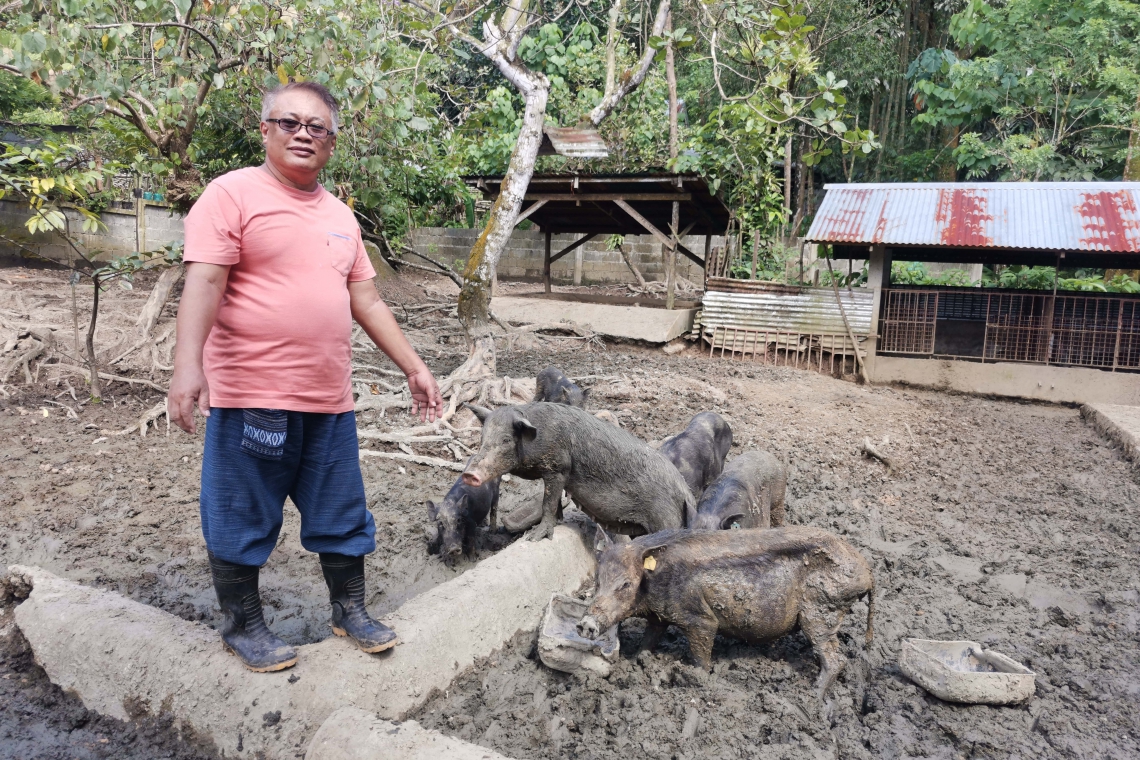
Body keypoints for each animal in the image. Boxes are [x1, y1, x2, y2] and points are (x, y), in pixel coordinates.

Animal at [462, 403, 693, 540]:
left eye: (506, 439)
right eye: (483, 438)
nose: (468, 474)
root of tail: (686, 493)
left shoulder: (558, 467)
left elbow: (548, 503)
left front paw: (534, 537)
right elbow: (554, 503)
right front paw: (559, 522)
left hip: (665, 518)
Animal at [574, 528, 875, 697]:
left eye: (625, 584)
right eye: (598, 579)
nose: (585, 623)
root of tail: (868, 573)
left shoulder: (701, 620)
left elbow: (700, 657)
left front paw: (701, 679)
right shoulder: (659, 618)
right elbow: (649, 641)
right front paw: (639, 659)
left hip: (821, 611)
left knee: (836, 660)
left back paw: (814, 698)